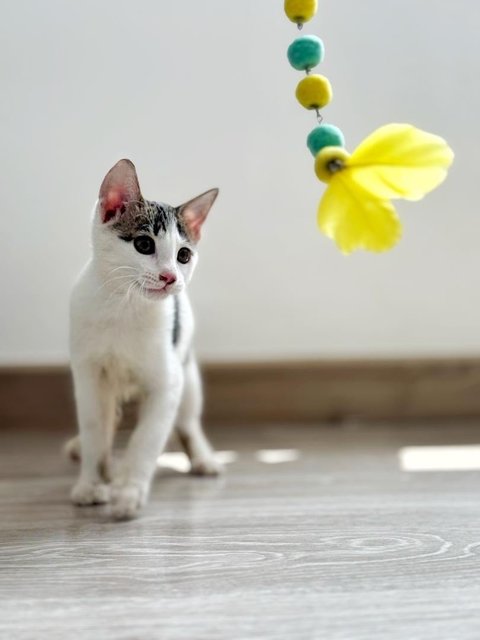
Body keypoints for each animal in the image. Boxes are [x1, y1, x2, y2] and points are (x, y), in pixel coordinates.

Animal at [67, 159, 221, 520]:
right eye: (144, 245)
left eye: (183, 255)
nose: (169, 277)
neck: (124, 308)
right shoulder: (88, 374)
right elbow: (94, 428)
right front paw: (92, 483)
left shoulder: (167, 382)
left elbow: (146, 440)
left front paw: (128, 491)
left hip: (187, 371)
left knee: (188, 421)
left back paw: (203, 458)